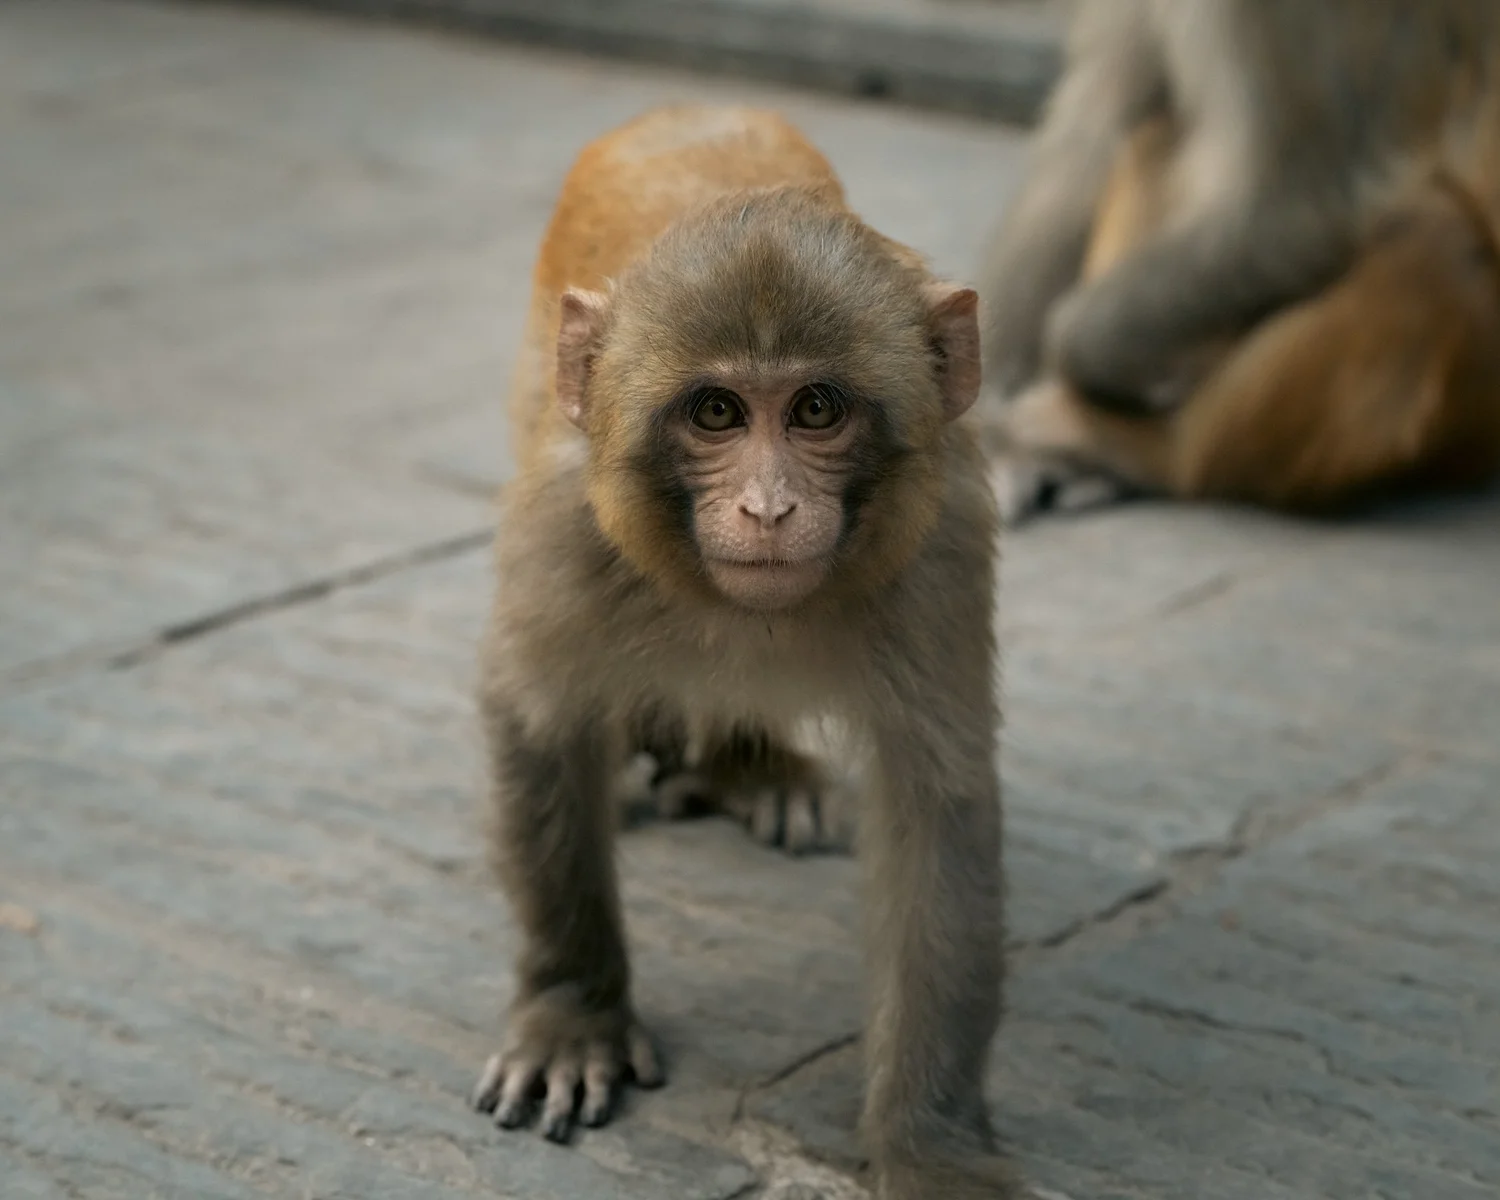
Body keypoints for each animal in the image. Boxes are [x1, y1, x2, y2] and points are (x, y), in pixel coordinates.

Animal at [470, 105, 1015, 1200]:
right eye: (717, 411)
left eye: (816, 409)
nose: (768, 508)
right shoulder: (564, 528)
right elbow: (540, 723)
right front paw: (573, 1012)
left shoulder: (938, 547)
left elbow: (938, 808)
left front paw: (929, 1144)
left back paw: (750, 767)